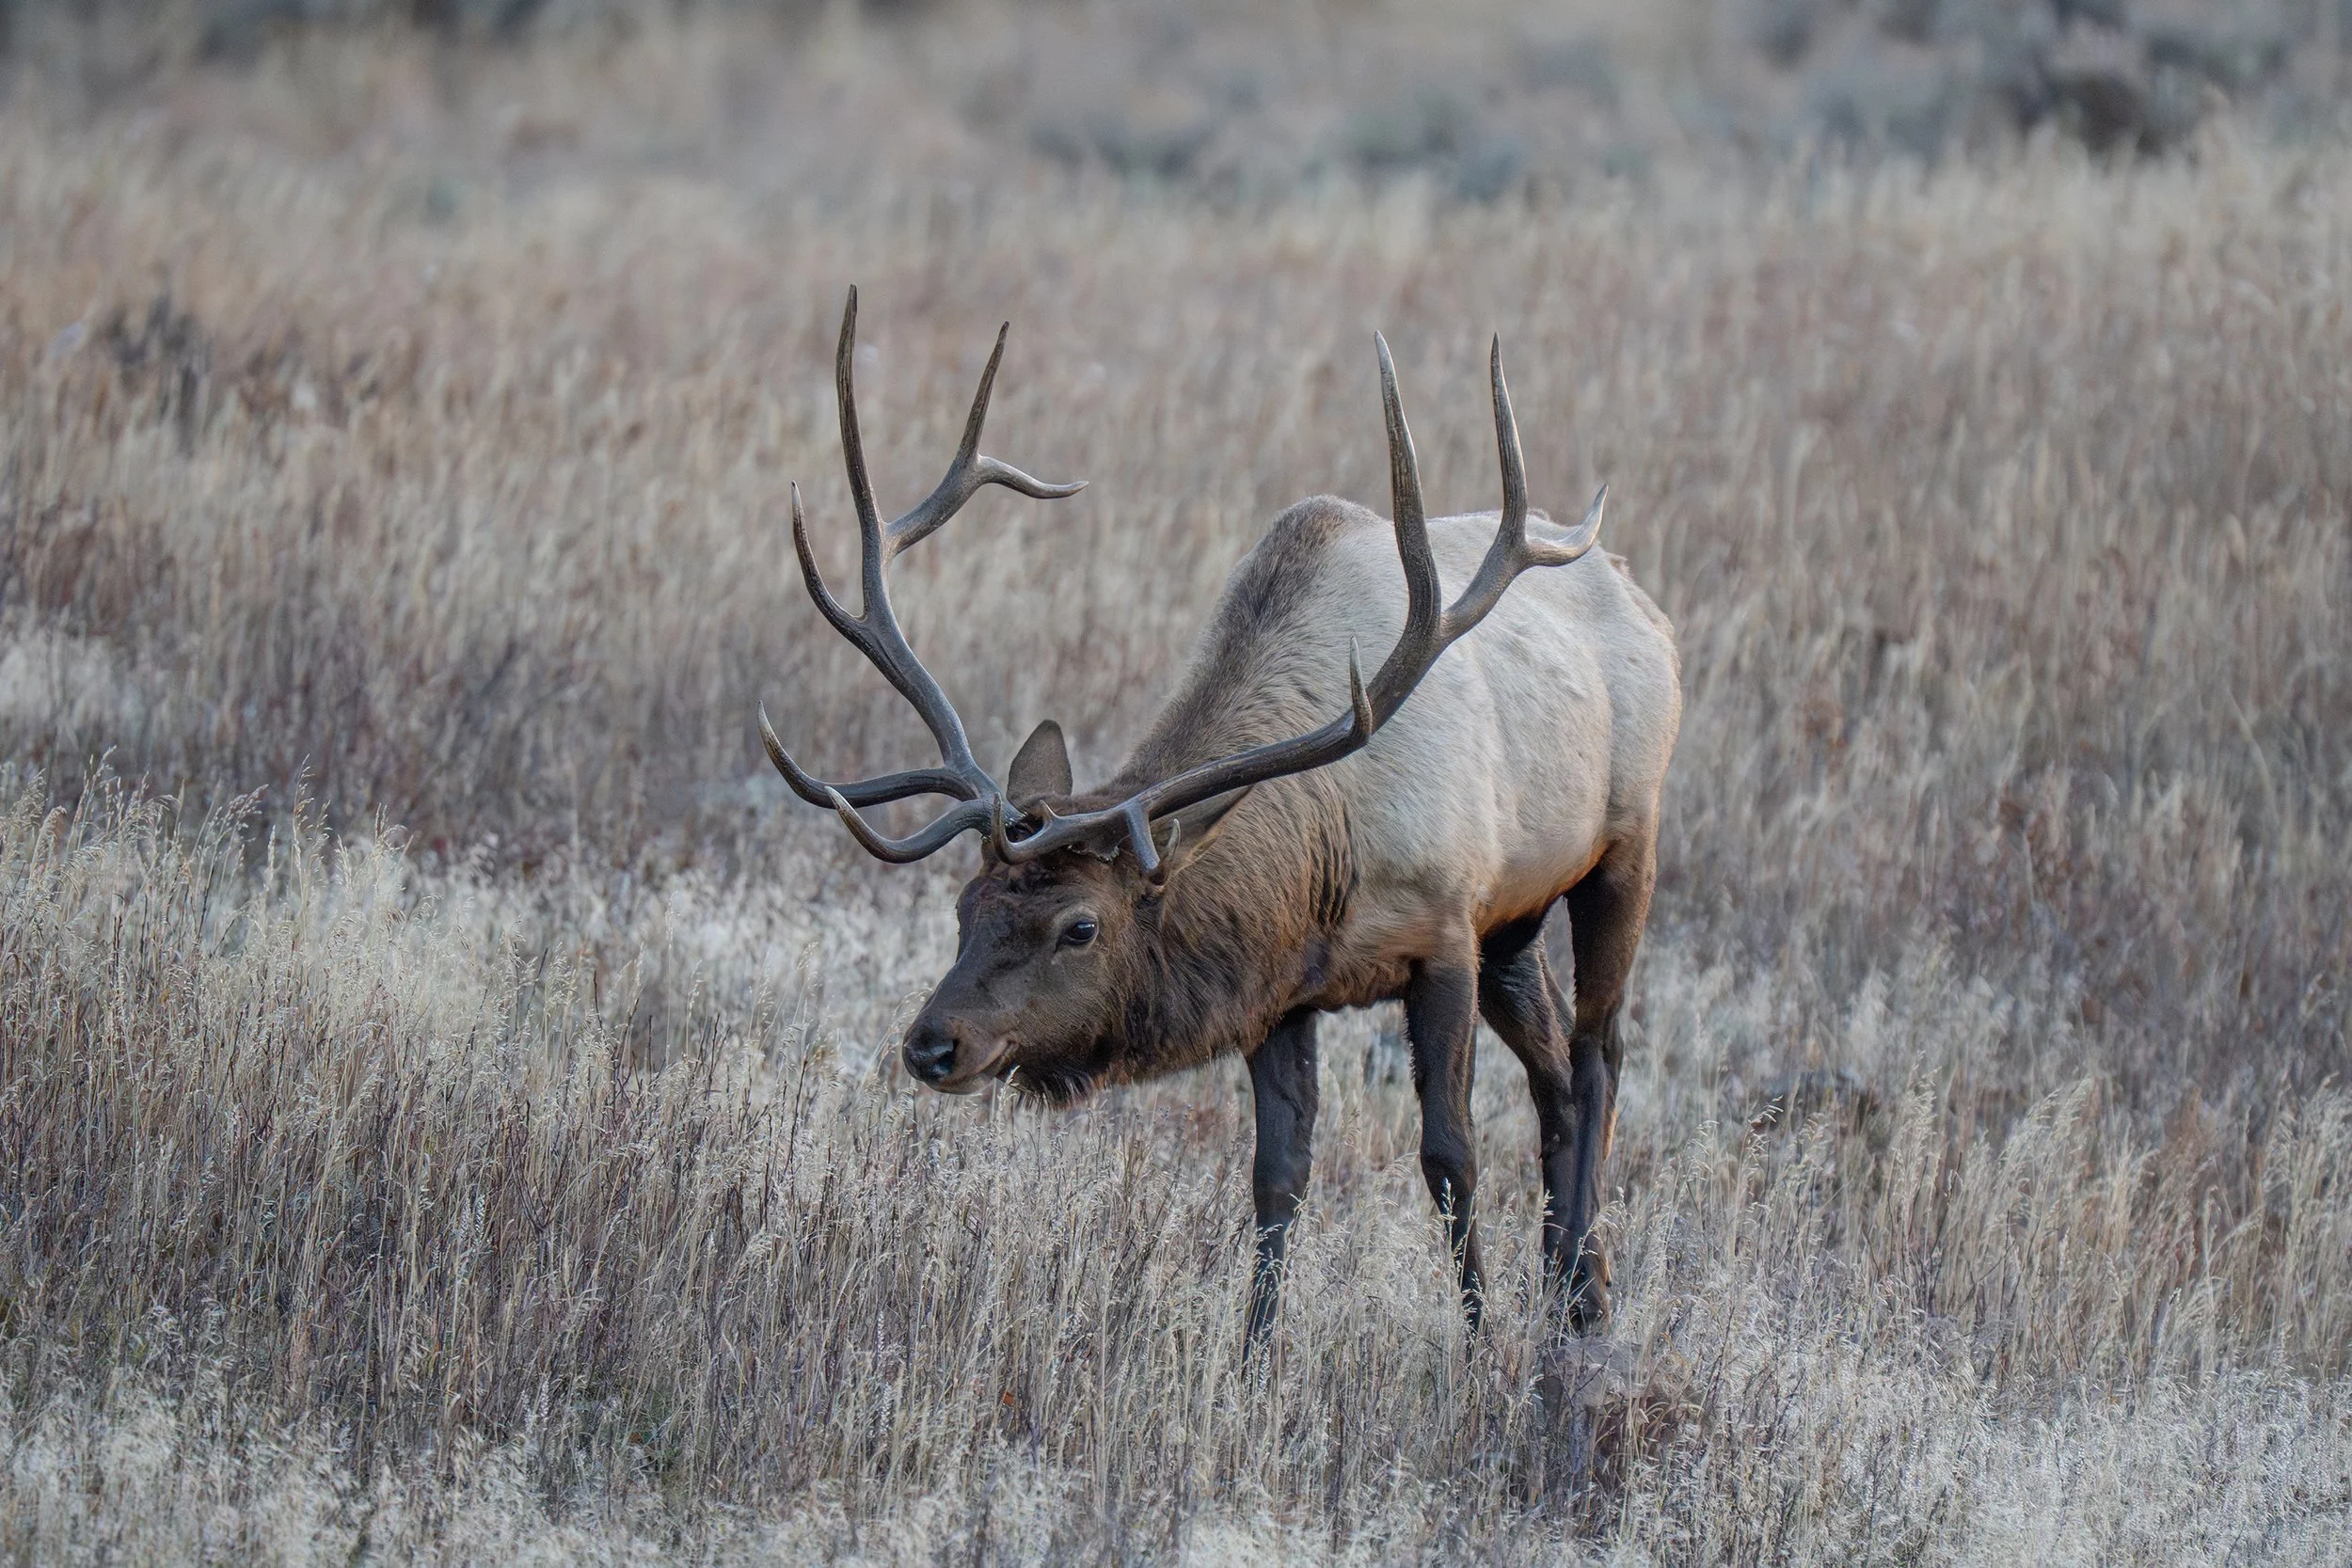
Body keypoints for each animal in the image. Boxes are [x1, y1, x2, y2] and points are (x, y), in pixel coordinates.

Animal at [759, 289, 1680, 1340]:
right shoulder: (1283, 985)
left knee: (1598, 1054)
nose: (931, 1043)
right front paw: (1255, 1350)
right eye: (963, 906)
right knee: (1556, 1071)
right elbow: (1276, 1175)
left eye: (1081, 926)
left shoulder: (1446, 928)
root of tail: (1643, 600)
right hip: (1517, 923)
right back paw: (1576, 1286)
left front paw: (1480, 1338)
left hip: (1625, 846)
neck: (1329, 852)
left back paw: (1582, 1295)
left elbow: (1449, 1156)